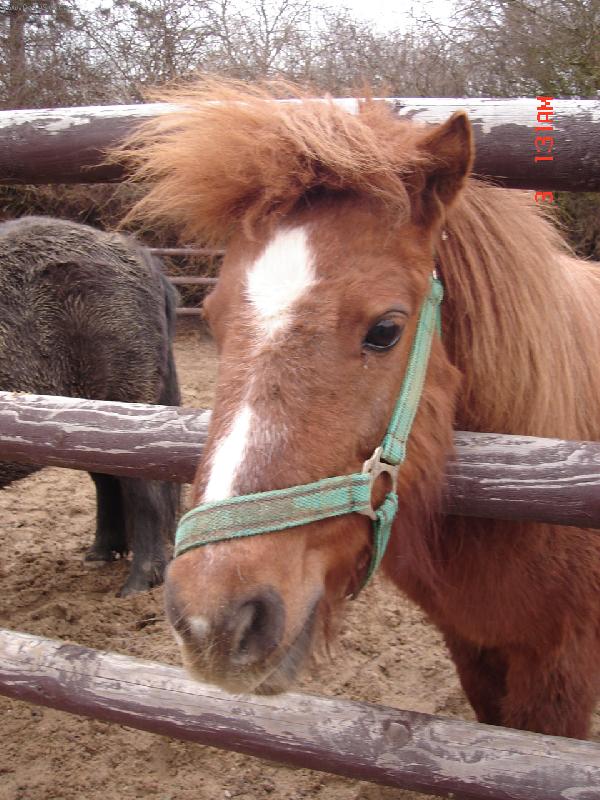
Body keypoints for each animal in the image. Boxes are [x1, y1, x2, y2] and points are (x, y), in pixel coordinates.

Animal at [0, 216, 181, 596]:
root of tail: (135, 253)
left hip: (129, 406)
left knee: (143, 490)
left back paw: (136, 586)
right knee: (106, 479)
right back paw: (99, 555)